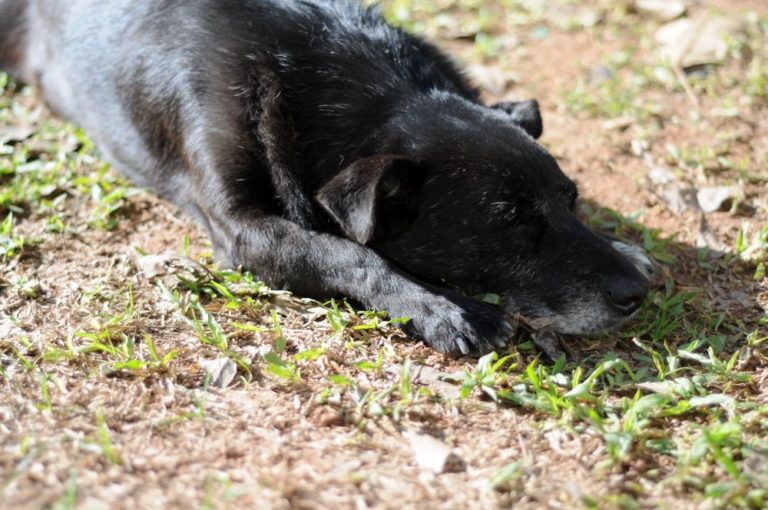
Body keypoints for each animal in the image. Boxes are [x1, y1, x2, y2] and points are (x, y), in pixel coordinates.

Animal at [1, 0, 660, 354]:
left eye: (572, 201)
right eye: (513, 223)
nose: (635, 295)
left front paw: (626, 244)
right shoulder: (241, 229)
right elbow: (349, 253)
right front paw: (443, 310)